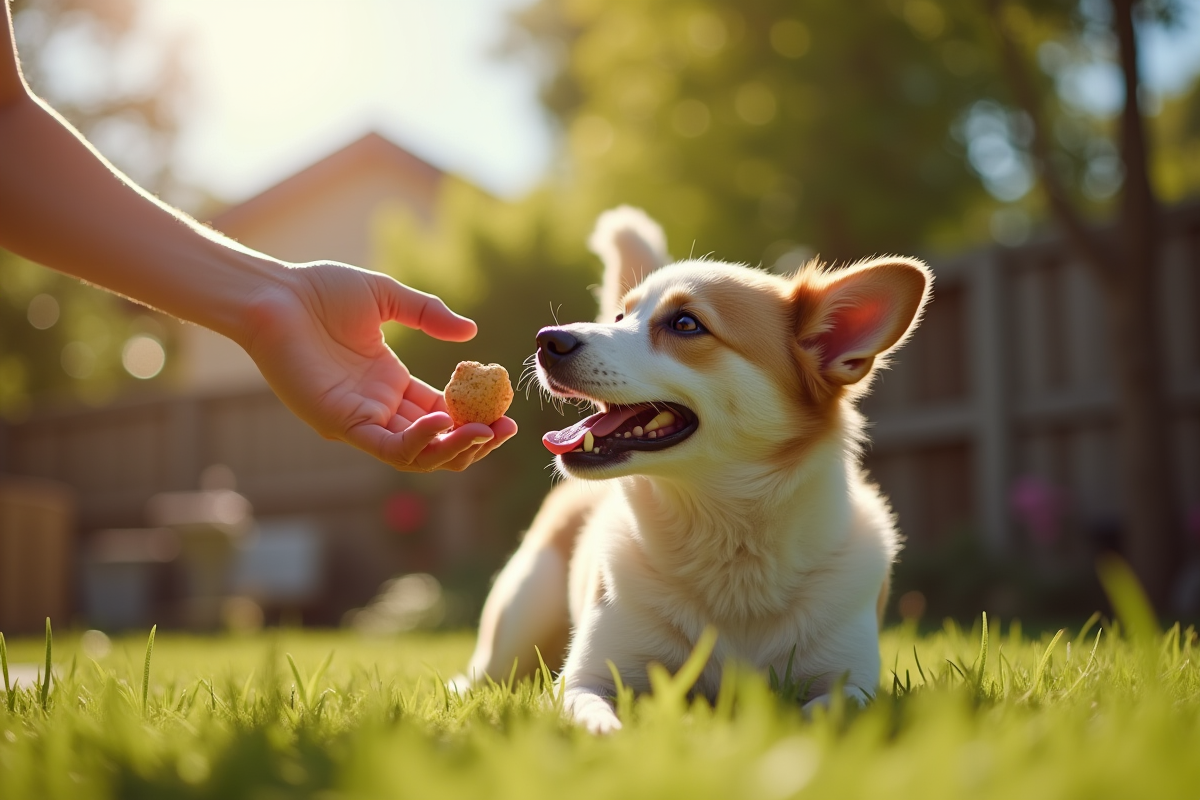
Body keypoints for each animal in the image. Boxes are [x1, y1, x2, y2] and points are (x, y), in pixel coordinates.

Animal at [458, 206, 926, 734]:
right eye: (620, 317)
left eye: (685, 323)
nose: (547, 339)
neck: (726, 538)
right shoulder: (584, 679)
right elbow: (592, 712)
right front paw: (611, 738)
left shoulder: (854, 682)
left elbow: (829, 710)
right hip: (516, 625)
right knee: (480, 677)